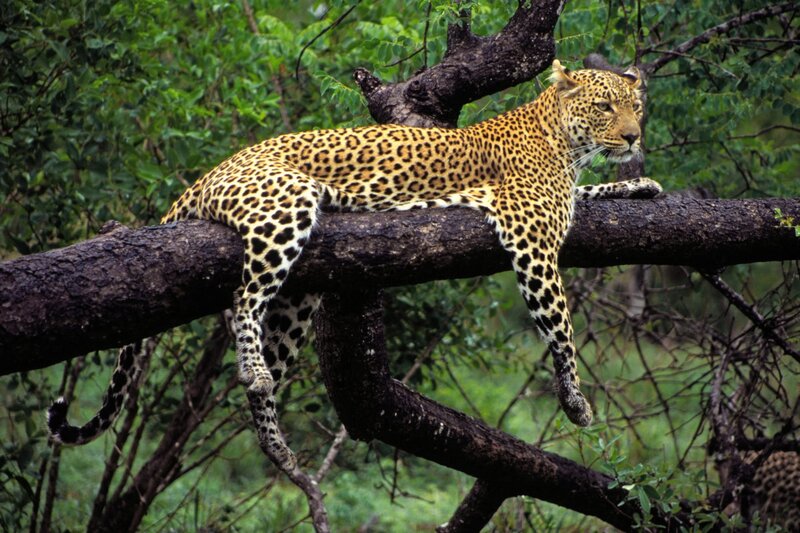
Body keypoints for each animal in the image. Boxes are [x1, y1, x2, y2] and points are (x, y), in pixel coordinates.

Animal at [47, 60, 662, 473]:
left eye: (636, 107)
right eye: (605, 107)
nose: (634, 137)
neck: (563, 139)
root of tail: (209, 173)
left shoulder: (559, 205)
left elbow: (593, 193)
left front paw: (641, 185)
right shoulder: (531, 235)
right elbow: (562, 328)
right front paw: (576, 400)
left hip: (298, 298)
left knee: (266, 348)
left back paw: (274, 443)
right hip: (285, 206)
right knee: (244, 300)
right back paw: (255, 371)